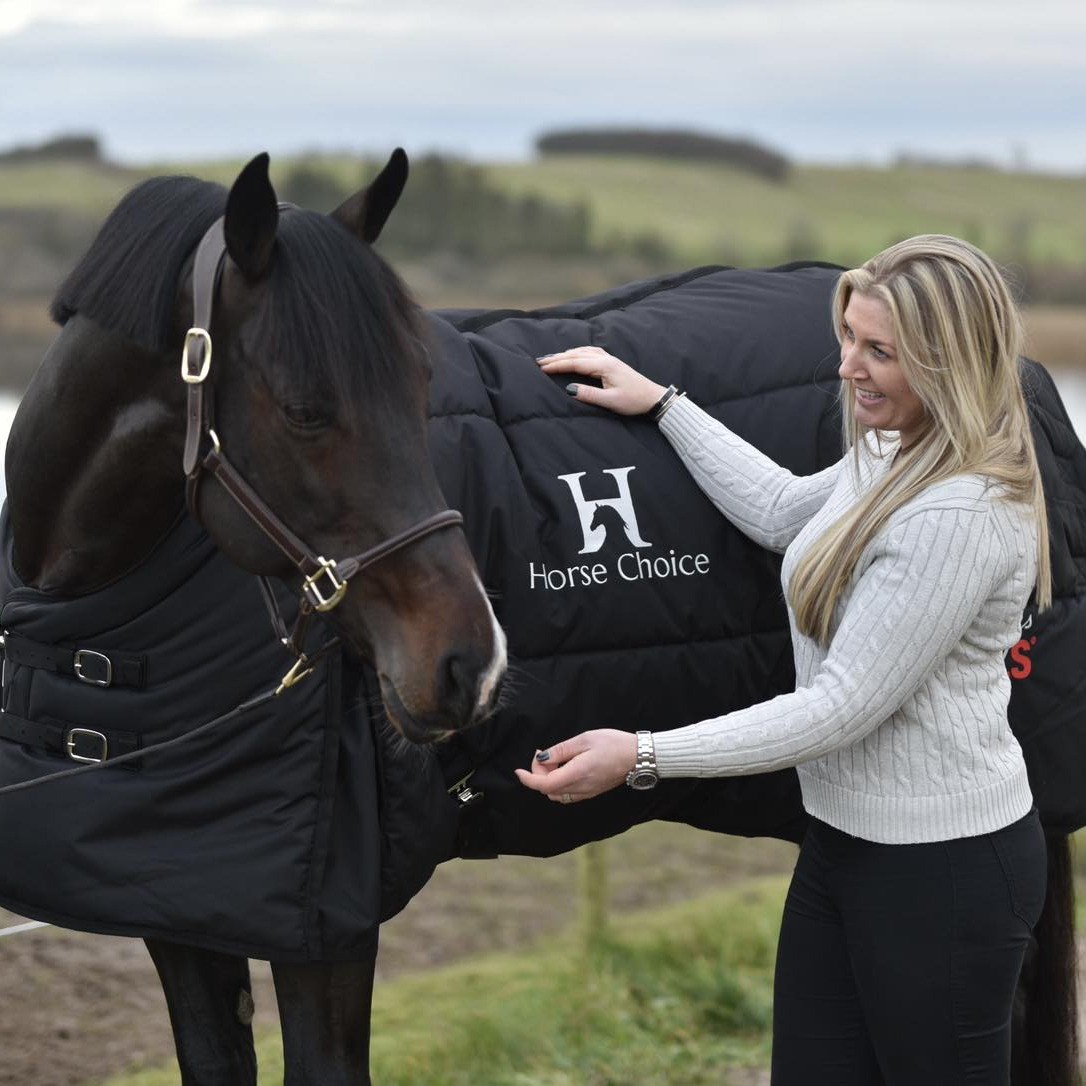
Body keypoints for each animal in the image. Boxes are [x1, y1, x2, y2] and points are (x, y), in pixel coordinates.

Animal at [2, 154, 1082, 1086]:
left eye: (421, 388)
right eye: (306, 410)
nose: (468, 664)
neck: (109, 626)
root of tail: (1024, 375)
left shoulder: (327, 927)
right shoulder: (190, 910)